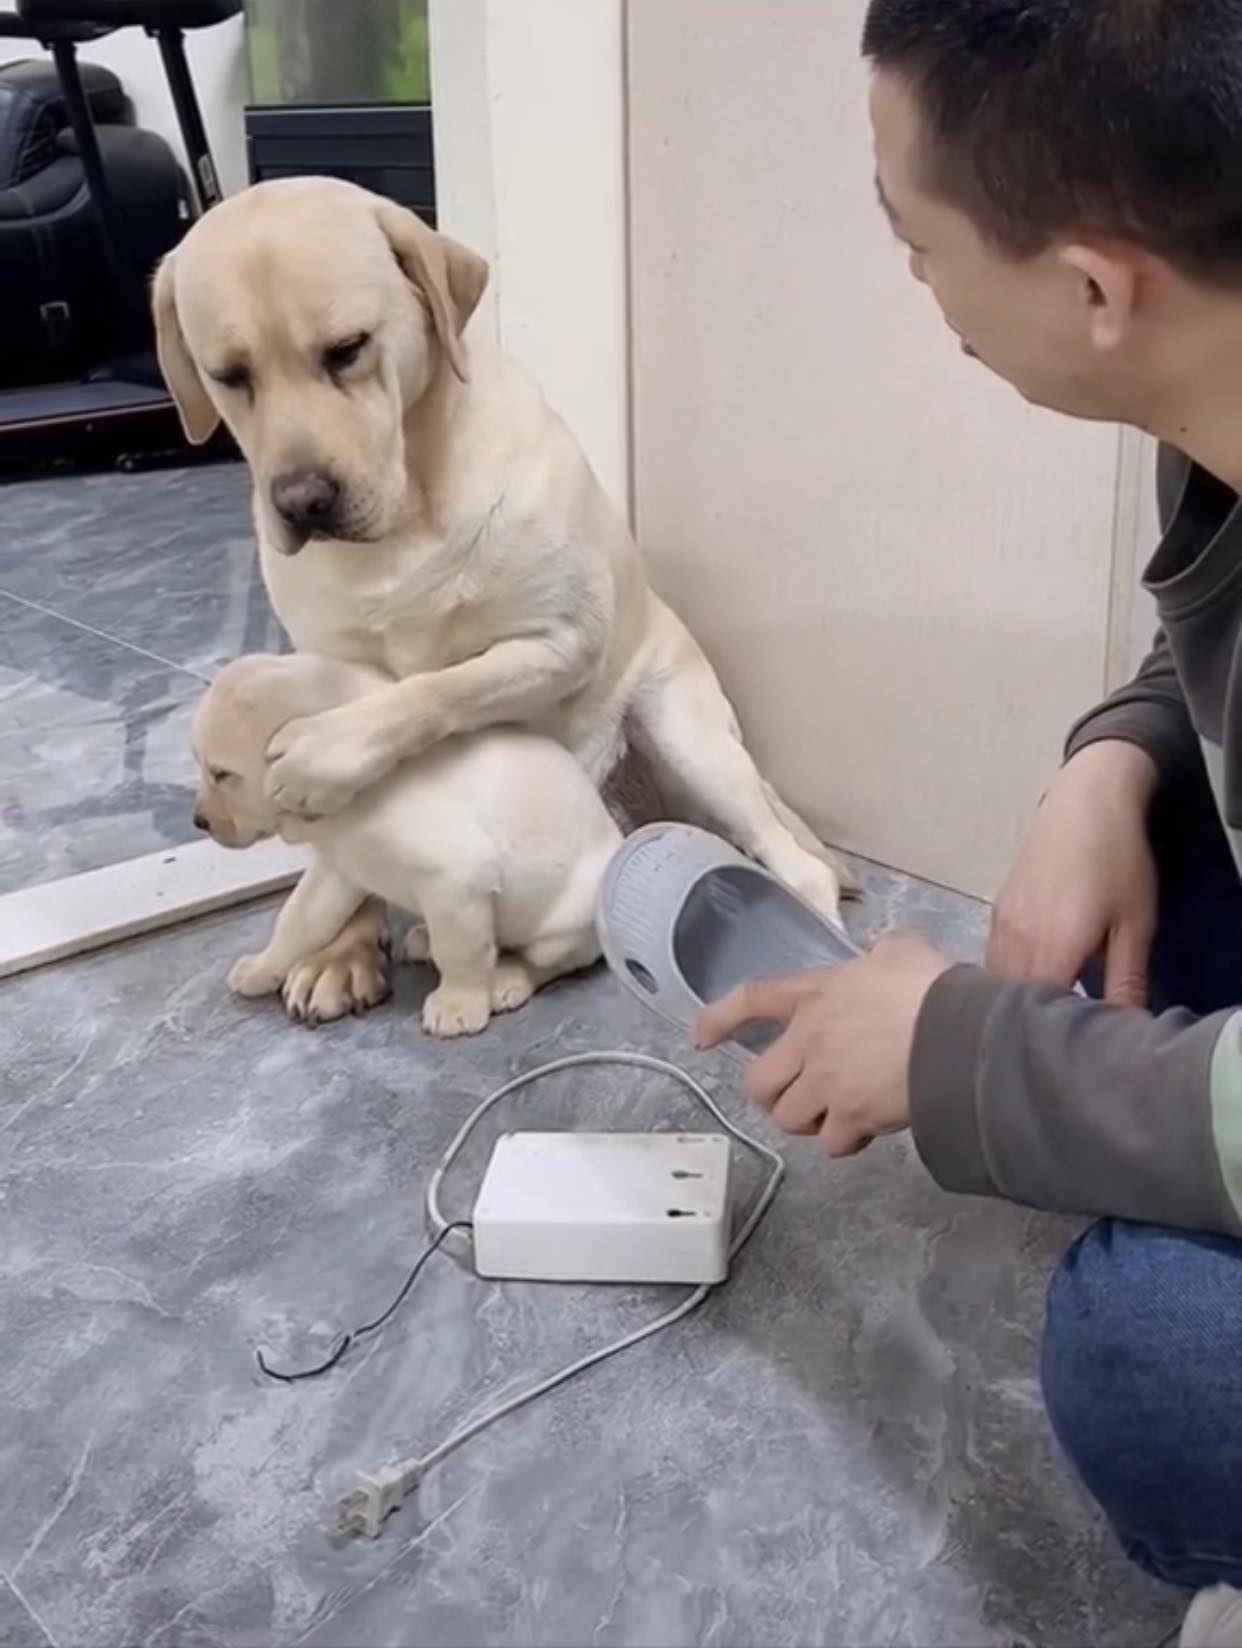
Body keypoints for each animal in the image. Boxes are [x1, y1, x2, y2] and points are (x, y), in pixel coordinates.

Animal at [192, 653, 620, 1036]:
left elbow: (460, 951)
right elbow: (299, 921)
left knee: (546, 961)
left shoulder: (456, 879)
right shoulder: (340, 871)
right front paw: (263, 968)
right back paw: (426, 939)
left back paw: (506, 979)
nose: (198, 821)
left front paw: (458, 1005)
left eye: (222, 774)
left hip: (567, 924)